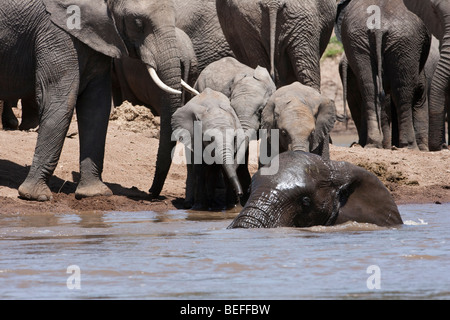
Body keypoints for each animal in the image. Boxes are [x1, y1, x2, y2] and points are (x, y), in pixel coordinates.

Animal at [0, 0, 185, 200]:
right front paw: (36, 196)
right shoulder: (54, 31)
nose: (151, 193)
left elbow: (96, 106)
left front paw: (95, 194)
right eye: (138, 23)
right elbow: (60, 101)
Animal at [336, 0, 430, 151]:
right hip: (405, 44)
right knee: (402, 93)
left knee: (369, 90)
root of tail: (378, 27)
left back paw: (372, 144)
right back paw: (409, 147)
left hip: (358, 41)